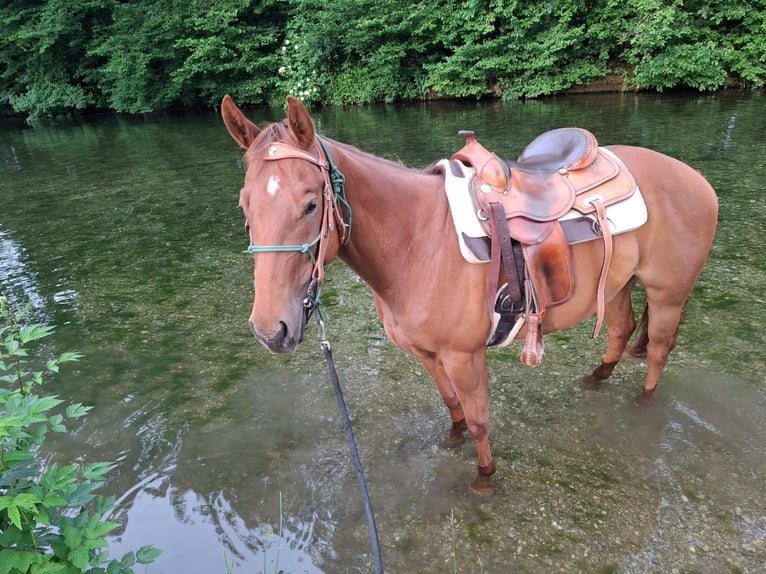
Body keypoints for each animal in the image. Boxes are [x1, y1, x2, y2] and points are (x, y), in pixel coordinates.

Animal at [220, 95, 718, 495]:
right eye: (245, 207)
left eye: (310, 204)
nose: (270, 331)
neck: (418, 242)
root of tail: (693, 176)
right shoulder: (425, 351)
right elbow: (452, 403)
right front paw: (453, 437)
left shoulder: (465, 355)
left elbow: (480, 419)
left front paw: (484, 478)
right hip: (614, 286)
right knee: (621, 330)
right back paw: (597, 378)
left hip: (668, 293)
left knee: (658, 349)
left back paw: (643, 404)